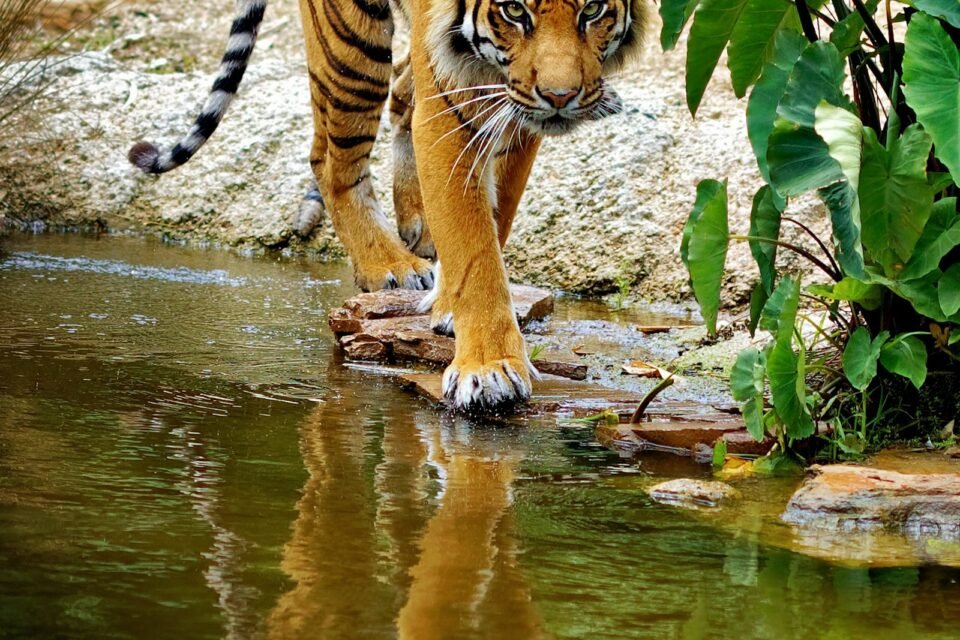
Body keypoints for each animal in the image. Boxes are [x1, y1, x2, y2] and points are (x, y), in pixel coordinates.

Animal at [128, 0, 647, 411]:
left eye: (592, 10)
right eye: (514, 11)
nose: (561, 97)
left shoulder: (515, 112)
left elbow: (493, 220)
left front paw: (458, 313)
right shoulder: (453, 99)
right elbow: (473, 245)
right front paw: (488, 368)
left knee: (401, 95)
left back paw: (418, 226)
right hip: (351, 47)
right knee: (332, 159)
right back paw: (389, 265)